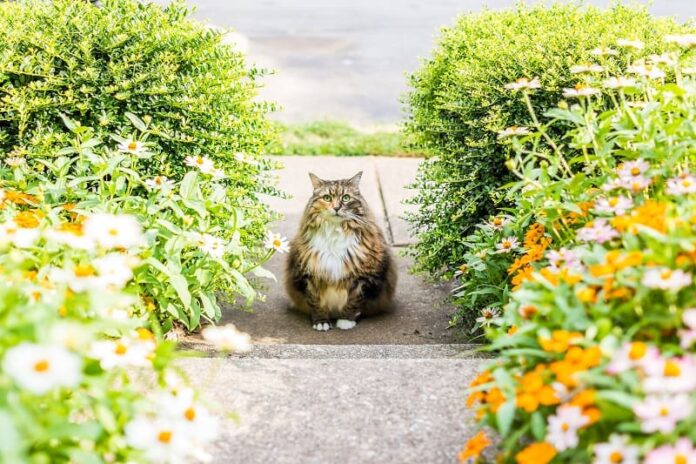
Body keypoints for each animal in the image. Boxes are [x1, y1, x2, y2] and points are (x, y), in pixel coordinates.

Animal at [284, 170, 394, 330]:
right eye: (327, 198)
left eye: (346, 198)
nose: (336, 208)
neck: (334, 232)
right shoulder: (308, 275)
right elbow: (315, 301)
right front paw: (321, 322)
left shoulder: (364, 277)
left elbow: (354, 301)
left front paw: (346, 321)